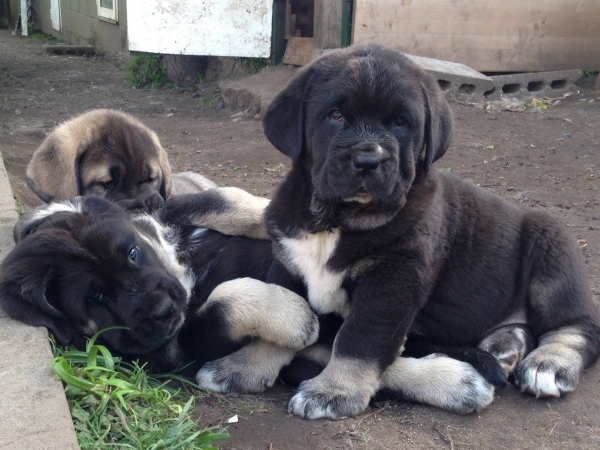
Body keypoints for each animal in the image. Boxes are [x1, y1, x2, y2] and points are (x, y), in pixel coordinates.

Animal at [0, 190, 318, 390]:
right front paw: (295, 318)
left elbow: (218, 199)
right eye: (95, 297)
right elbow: (223, 303)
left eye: (133, 253)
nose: (164, 310)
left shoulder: (164, 216)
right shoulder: (180, 346)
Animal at [262, 44, 600, 420]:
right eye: (334, 115)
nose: (368, 160)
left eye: (400, 122)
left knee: (577, 325)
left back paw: (549, 363)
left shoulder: (392, 280)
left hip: (551, 246)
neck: (337, 219)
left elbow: (358, 339)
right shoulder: (288, 262)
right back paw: (505, 345)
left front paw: (334, 391)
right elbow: (288, 317)